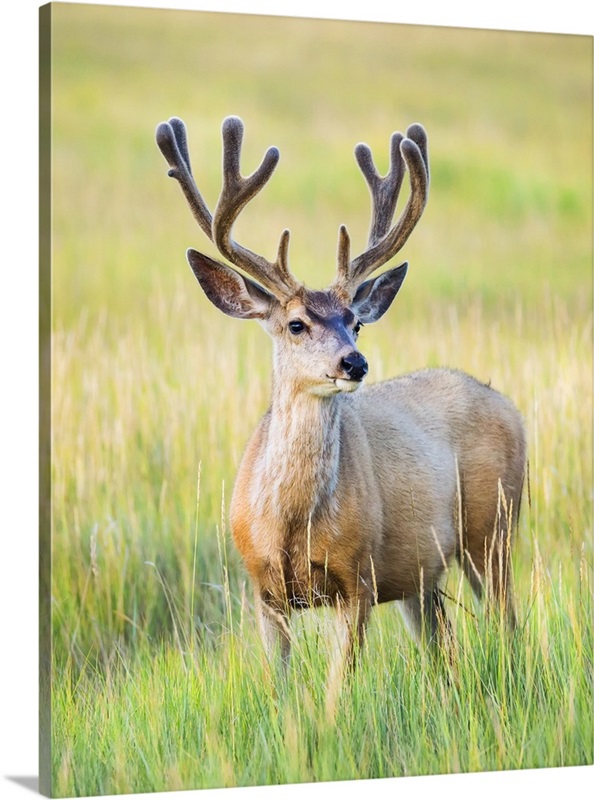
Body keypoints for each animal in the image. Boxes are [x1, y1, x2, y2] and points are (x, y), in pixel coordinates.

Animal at [154, 115, 524, 696]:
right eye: (296, 323)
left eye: (356, 322)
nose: (355, 362)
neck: (289, 524)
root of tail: (505, 403)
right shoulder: (263, 591)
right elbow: (278, 690)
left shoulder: (358, 579)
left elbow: (335, 693)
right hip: (424, 573)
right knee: (446, 649)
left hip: (493, 531)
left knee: (508, 629)